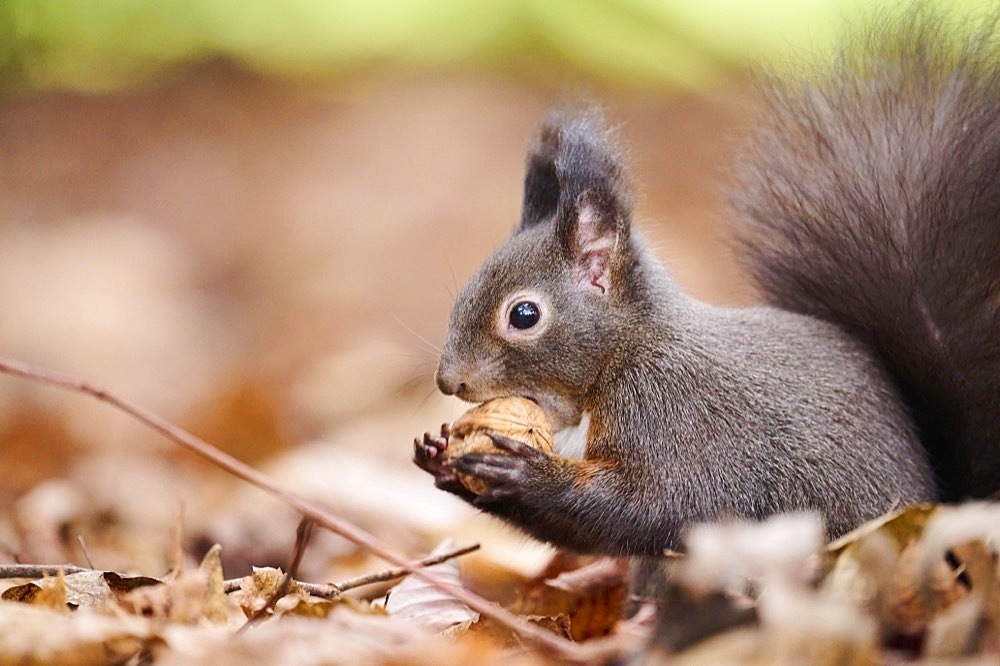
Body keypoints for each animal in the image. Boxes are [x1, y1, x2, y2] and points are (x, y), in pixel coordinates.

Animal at [410, 11, 996, 556]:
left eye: (524, 315)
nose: (449, 381)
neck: (631, 348)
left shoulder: (679, 417)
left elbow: (656, 505)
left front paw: (527, 473)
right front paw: (441, 456)